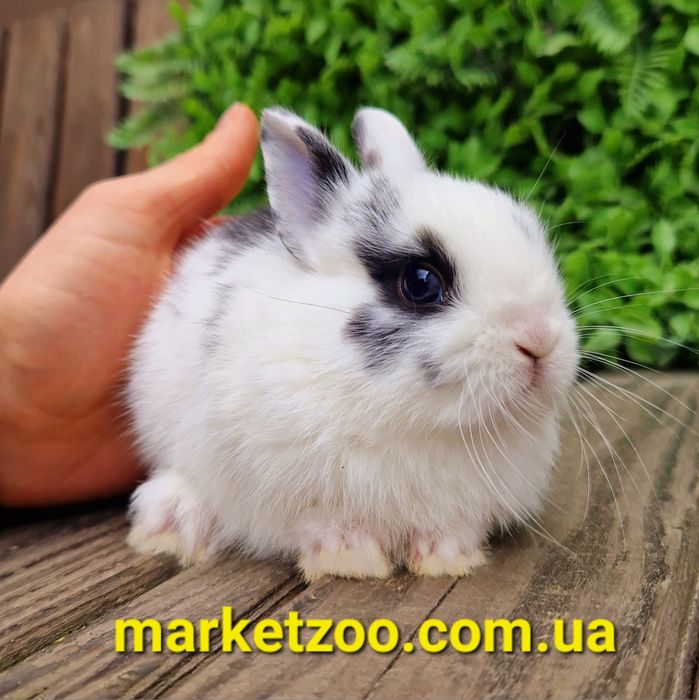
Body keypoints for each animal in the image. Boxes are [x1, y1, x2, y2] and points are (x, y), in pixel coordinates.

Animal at [125, 106, 579, 581]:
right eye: (421, 282)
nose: (539, 338)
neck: (417, 424)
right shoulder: (302, 496)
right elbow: (326, 525)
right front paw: (352, 561)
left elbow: (449, 530)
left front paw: (447, 560)